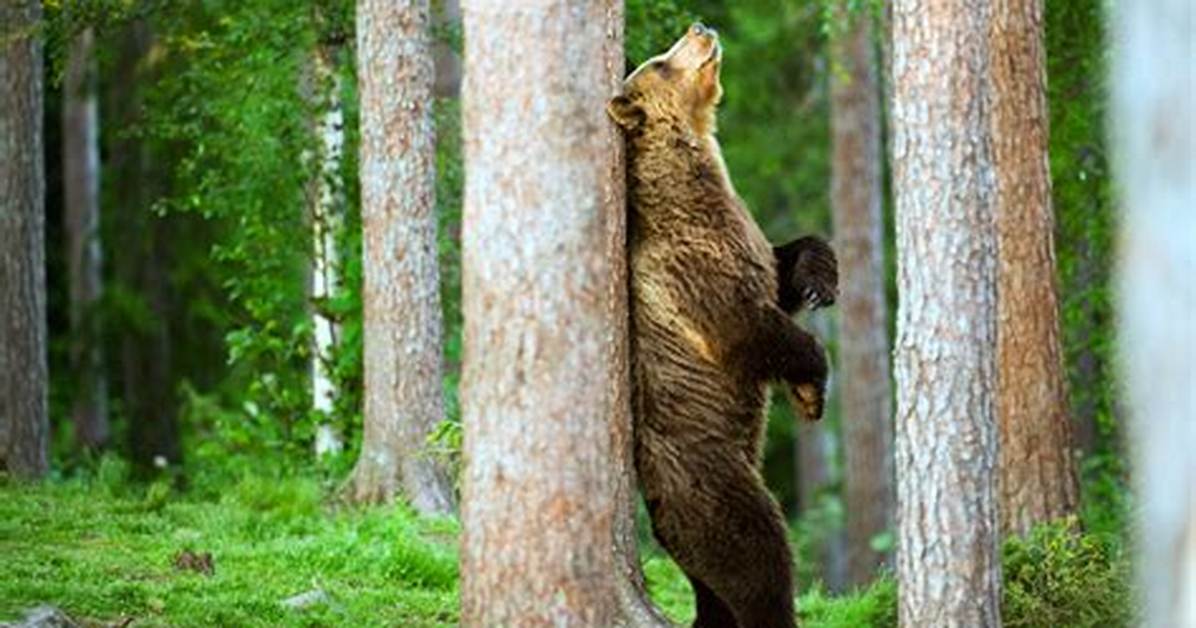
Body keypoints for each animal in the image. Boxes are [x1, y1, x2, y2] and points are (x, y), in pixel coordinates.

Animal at [608, 23, 837, 628]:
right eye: (661, 60)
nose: (700, 28)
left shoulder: (743, 235)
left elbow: (781, 268)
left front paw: (818, 281)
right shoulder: (691, 266)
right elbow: (747, 329)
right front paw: (813, 387)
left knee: (714, 584)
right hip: (708, 477)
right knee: (758, 551)